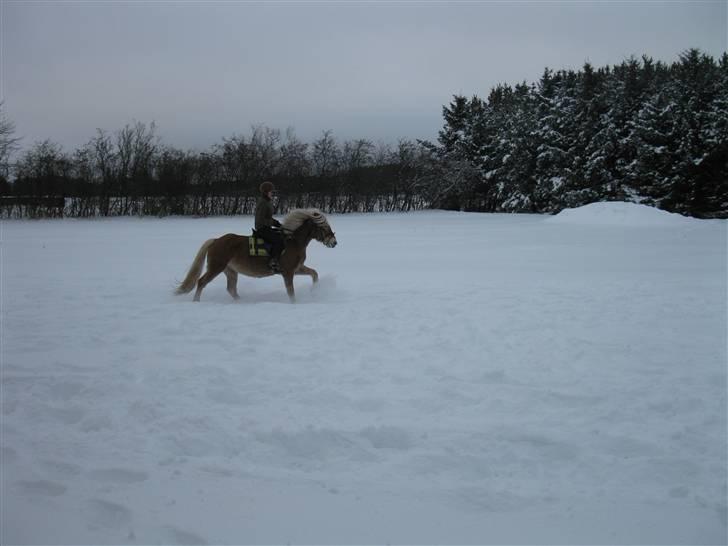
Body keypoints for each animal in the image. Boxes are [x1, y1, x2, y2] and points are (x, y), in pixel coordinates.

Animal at [175, 208, 336, 302]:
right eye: (324, 227)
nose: (334, 242)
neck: (293, 241)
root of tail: (216, 240)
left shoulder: (297, 269)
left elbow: (314, 273)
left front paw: (314, 290)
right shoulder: (288, 272)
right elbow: (291, 292)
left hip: (230, 271)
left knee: (231, 289)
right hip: (216, 267)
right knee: (201, 282)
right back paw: (196, 301)